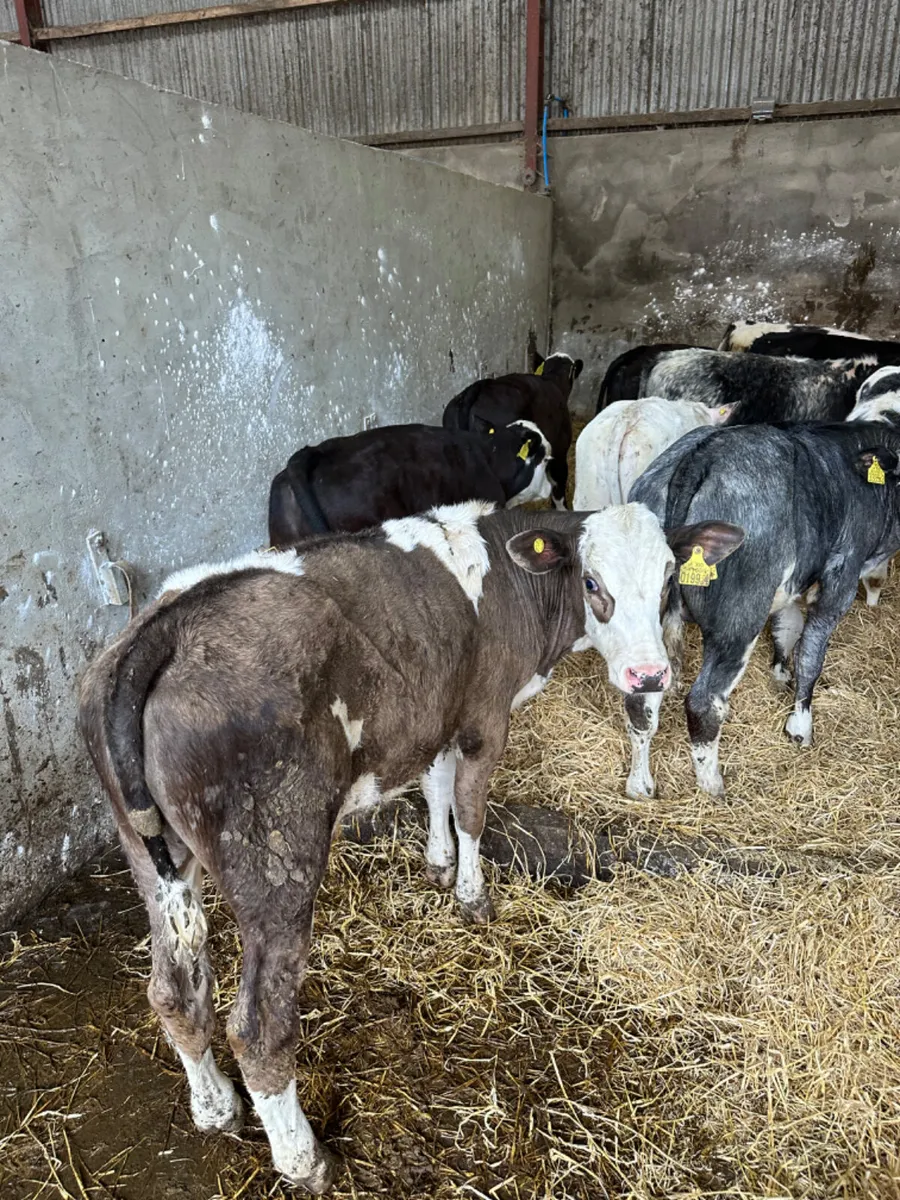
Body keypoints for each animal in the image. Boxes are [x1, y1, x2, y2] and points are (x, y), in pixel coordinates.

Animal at [78, 499, 742, 1191]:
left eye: (668, 581)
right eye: (591, 581)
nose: (649, 674)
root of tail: (167, 625)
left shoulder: (439, 713)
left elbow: (437, 784)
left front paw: (439, 863)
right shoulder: (484, 717)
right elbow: (471, 808)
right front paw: (473, 896)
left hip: (149, 852)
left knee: (173, 990)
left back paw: (215, 1107)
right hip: (275, 862)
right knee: (260, 1028)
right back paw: (304, 1160)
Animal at [629, 421, 900, 798]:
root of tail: (703, 452)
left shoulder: (793, 587)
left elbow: (787, 628)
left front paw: (779, 673)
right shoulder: (840, 579)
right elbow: (810, 655)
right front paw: (800, 727)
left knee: (640, 701)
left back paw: (640, 785)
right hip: (738, 622)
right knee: (703, 703)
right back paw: (712, 785)